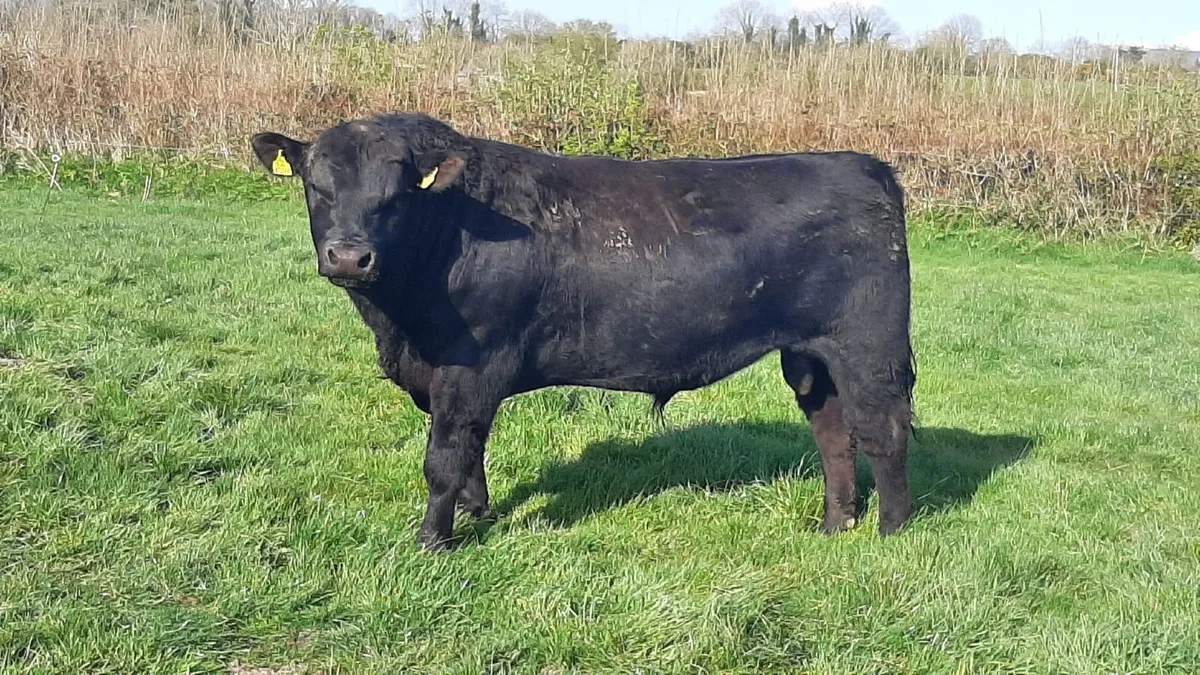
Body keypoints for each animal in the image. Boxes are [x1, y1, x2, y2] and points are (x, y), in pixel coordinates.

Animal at [250, 113, 917, 551]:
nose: (348, 256)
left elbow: (445, 457)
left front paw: (432, 543)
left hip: (869, 345)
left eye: (395, 195)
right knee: (833, 433)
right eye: (316, 186)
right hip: (811, 355)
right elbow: (470, 454)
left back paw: (891, 531)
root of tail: (863, 165)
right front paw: (479, 514)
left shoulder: (469, 365)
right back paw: (835, 525)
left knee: (882, 433)